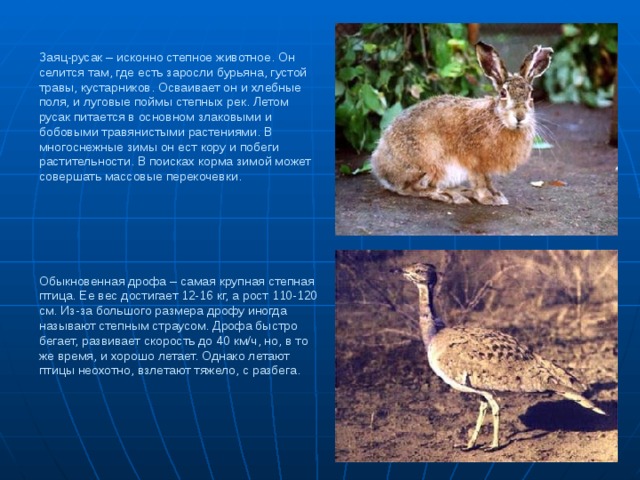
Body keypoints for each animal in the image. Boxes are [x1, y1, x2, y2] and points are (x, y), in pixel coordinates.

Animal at [370, 41, 553, 206]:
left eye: (531, 94)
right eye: (503, 93)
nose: (520, 116)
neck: (499, 120)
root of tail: (379, 167)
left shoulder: (485, 168)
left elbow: (488, 181)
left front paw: (496, 195)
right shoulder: (474, 163)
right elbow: (480, 182)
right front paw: (488, 199)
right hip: (428, 163)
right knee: (414, 189)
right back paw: (451, 196)